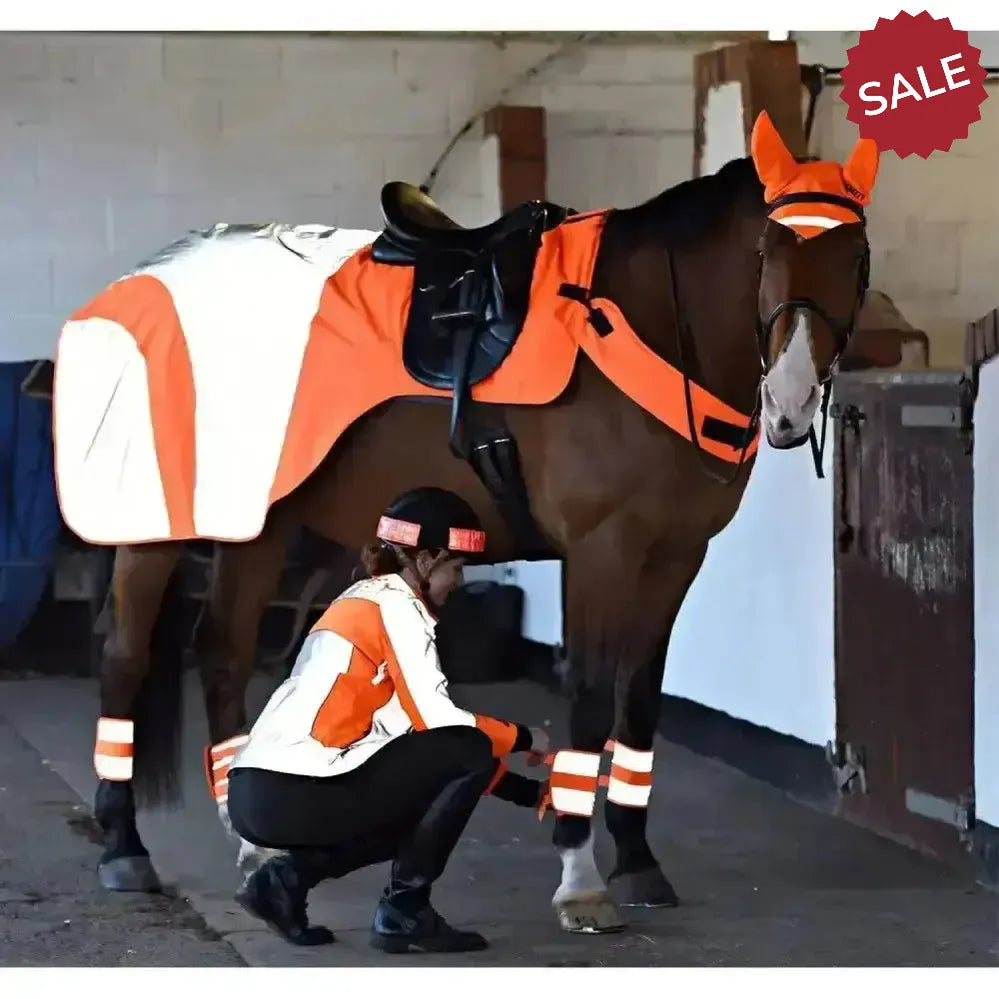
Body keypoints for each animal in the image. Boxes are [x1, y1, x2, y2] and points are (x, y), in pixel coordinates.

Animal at [52, 111, 880, 934]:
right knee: (125, 655)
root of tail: (134, 284)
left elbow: (638, 699)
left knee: (222, 651)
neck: (640, 324)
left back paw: (255, 846)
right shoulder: (600, 550)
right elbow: (588, 695)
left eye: (856, 255)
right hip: (155, 526)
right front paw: (580, 877)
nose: (790, 402)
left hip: (258, 524)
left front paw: (638, 860)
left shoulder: (675, 554)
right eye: (767, 249)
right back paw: (125, 847)